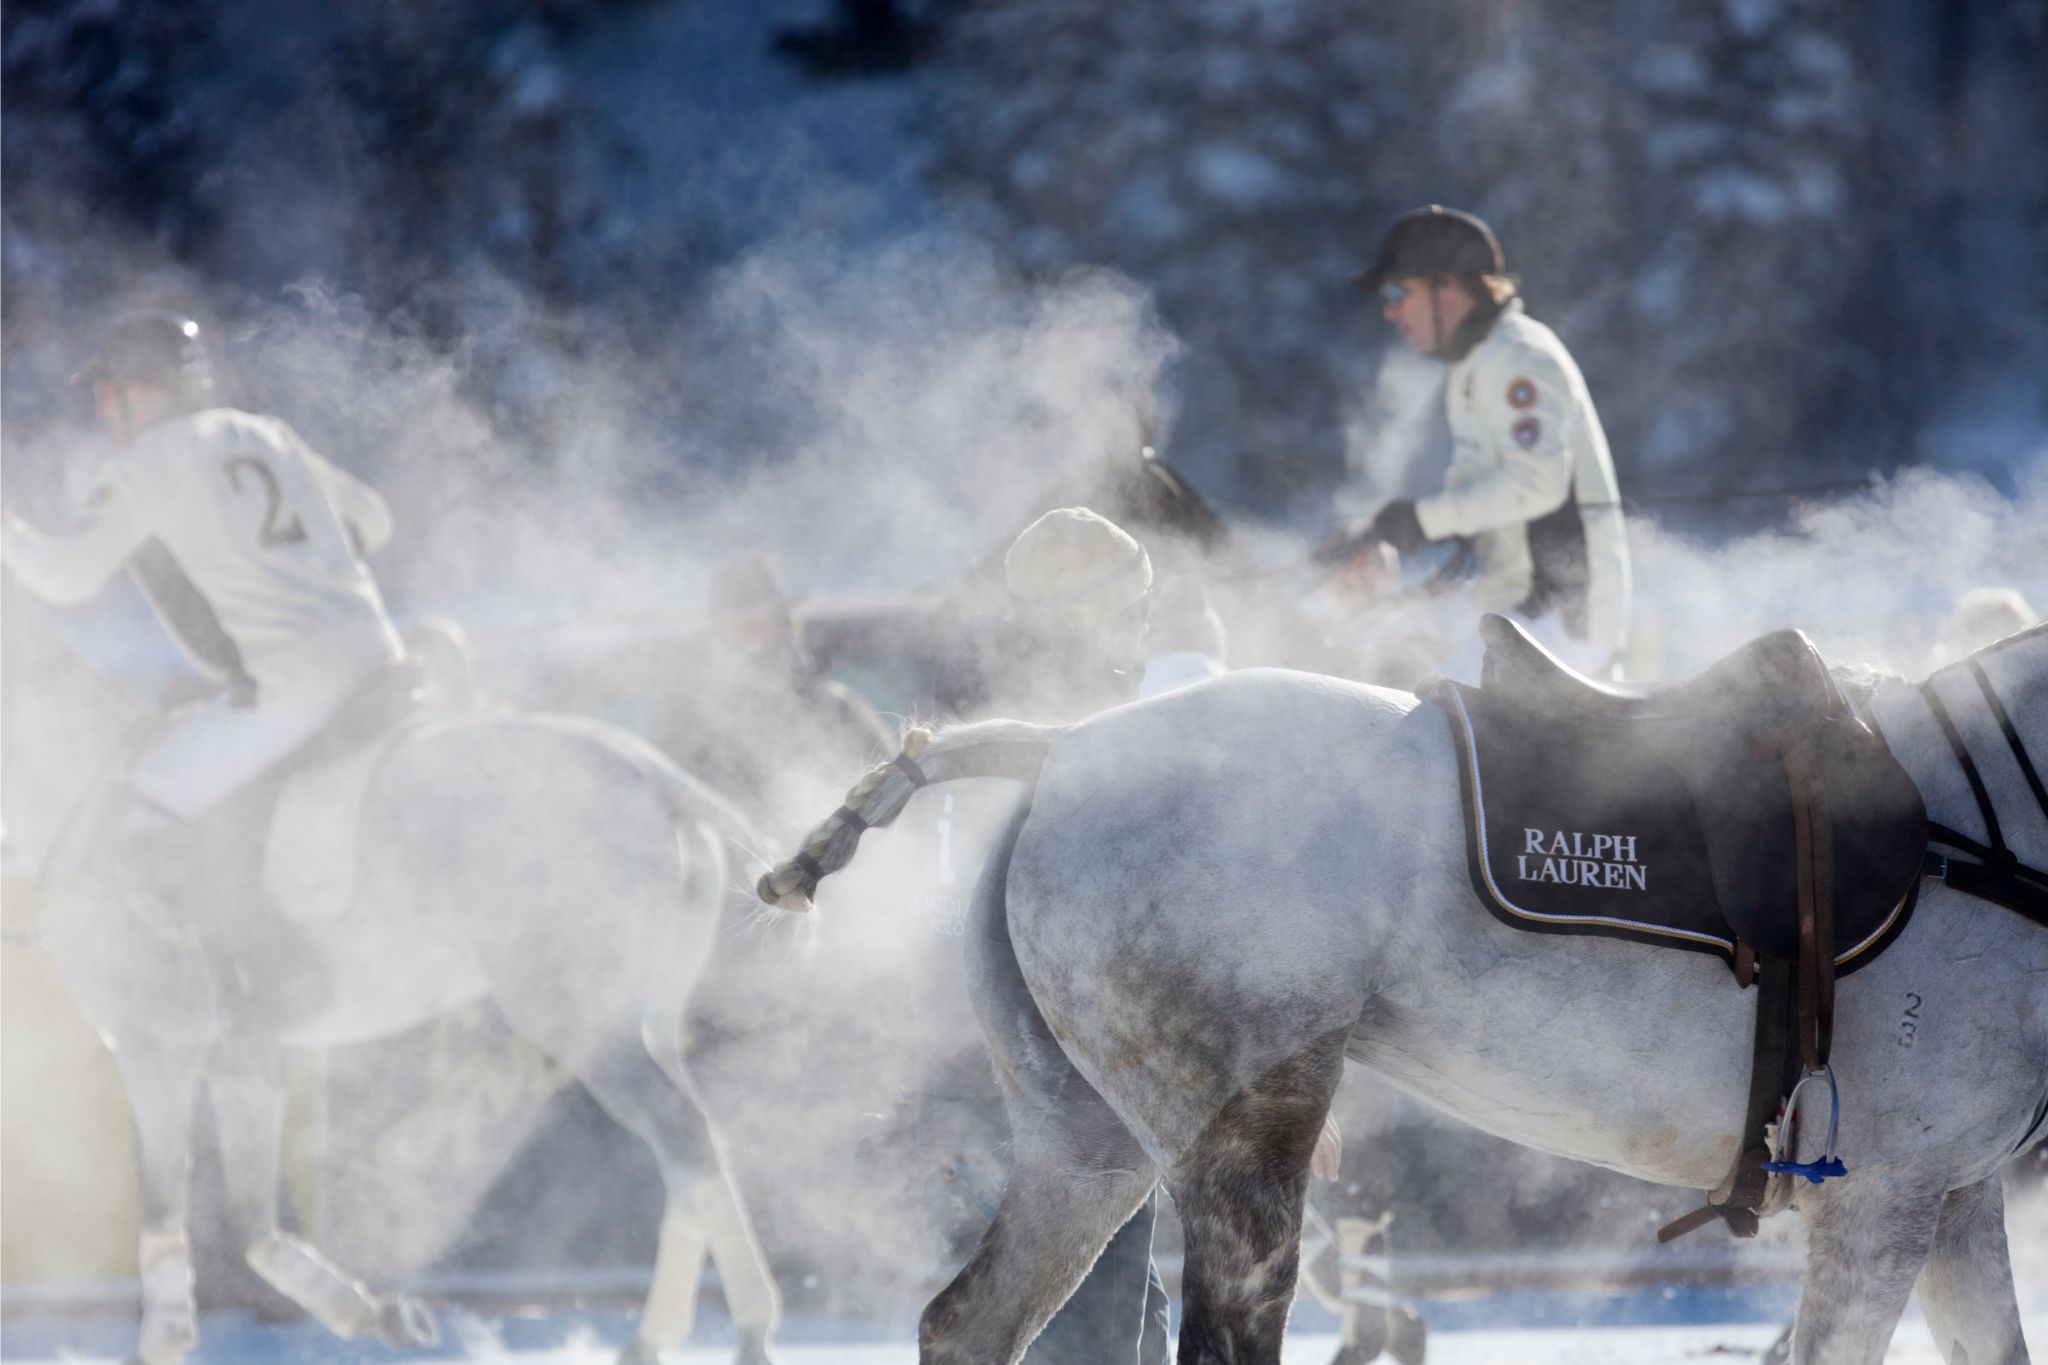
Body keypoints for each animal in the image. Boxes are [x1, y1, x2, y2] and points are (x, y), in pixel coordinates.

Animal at [8, 605, 782, 1365]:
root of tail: (656, 776)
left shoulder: (153, 1044)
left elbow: (175, 1211)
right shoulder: (245, 1053)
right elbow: (252, 1223)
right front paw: (381, 1313)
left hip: (577, 1018)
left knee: (681, 1133)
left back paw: (746, 1332)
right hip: (646, 1017)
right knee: (694, 1144)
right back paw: (658, 1337)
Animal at [761, 626, 2039, 1365]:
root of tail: (1066, 745)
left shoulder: (1951, 1199)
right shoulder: (1882, 1198)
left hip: (1085, 1138)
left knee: (968, 1321)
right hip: (1243, 1128)